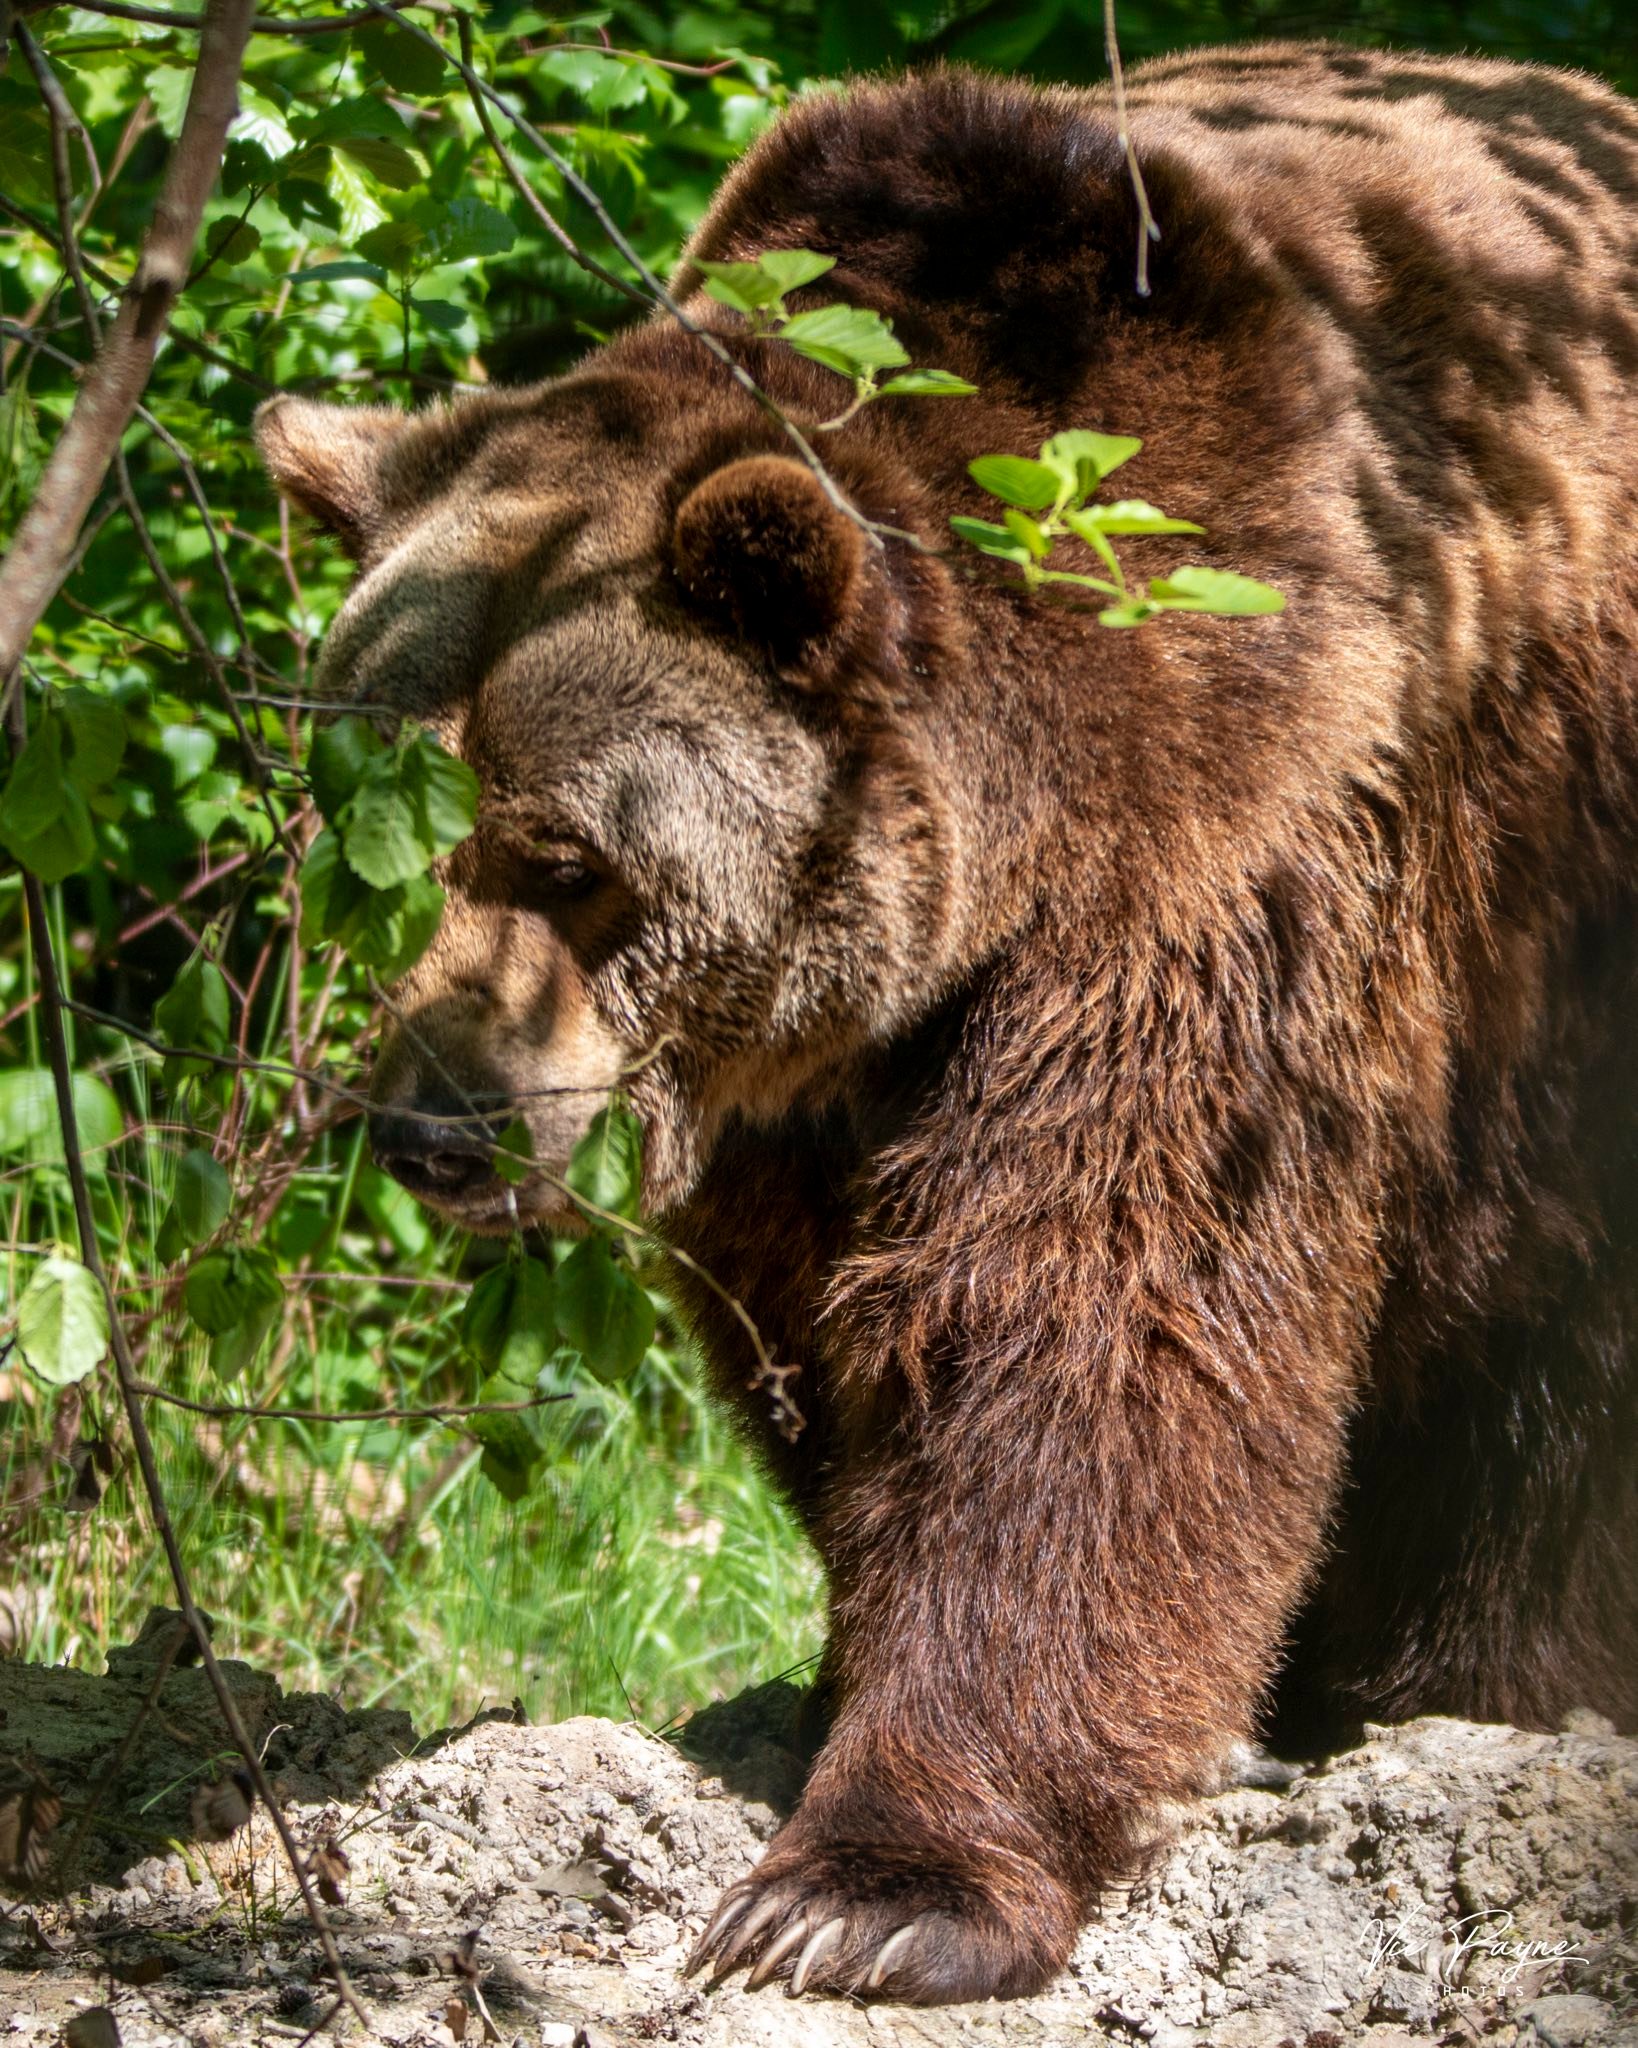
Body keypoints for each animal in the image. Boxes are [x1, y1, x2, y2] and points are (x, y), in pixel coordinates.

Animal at [256, 44, 1638, 2005]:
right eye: (377, 845)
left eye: (564, 856)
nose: (434, 1127)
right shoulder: (796, 1081)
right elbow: (839, 1350)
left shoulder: (1218, 853)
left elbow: (1092, 1318)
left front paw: (862, 1889)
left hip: (1560, 940)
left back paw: (1470, 1687)